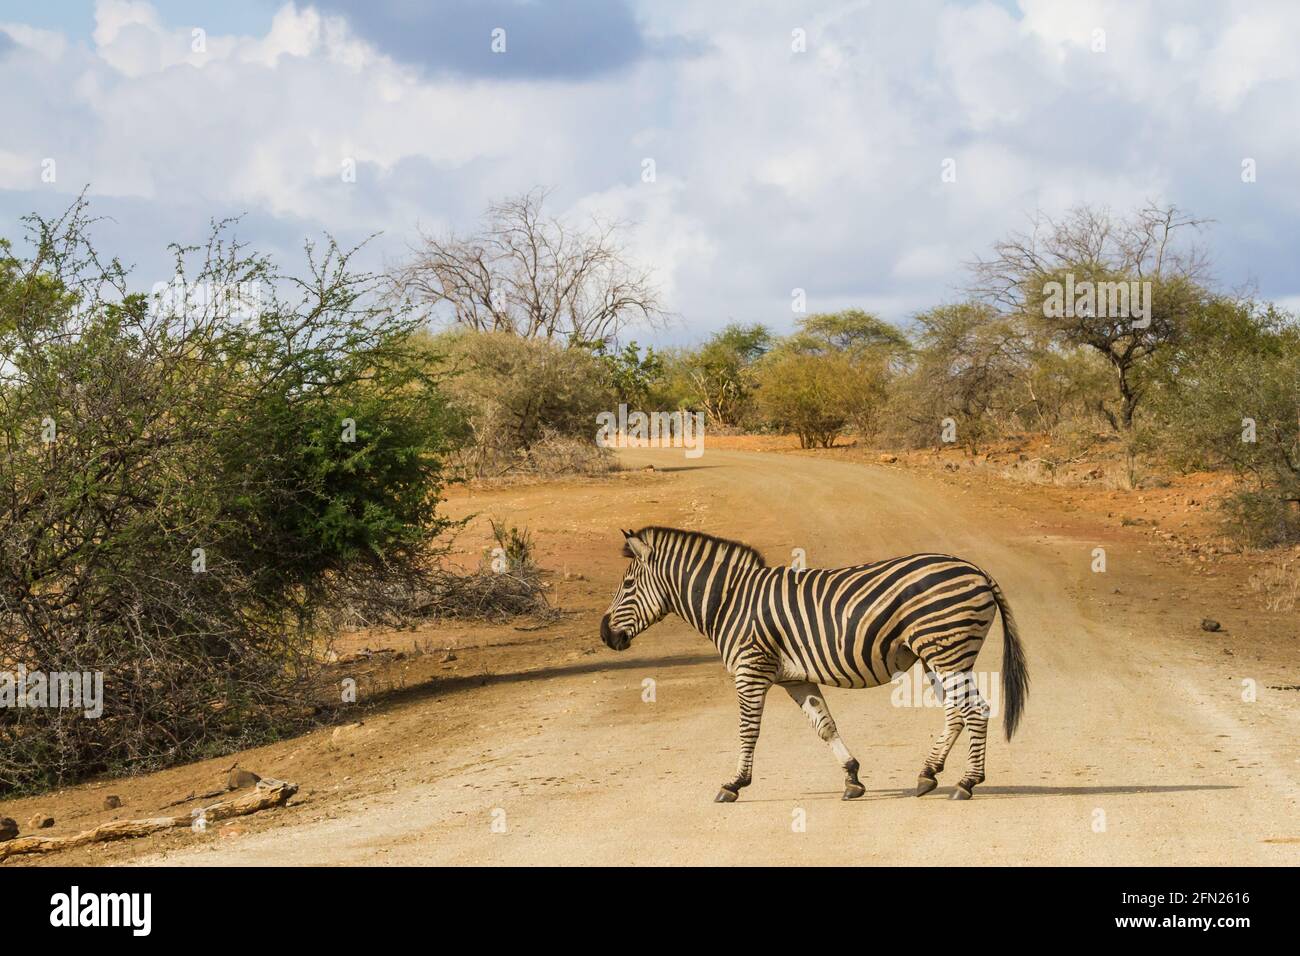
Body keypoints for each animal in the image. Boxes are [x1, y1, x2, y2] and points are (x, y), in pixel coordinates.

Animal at [598, 528, 1024, 806]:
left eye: (629, 585)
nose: (604, 634)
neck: (729, 601)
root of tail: (976, 569)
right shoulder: (795, 680)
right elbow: (825, 726)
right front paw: (852, 778)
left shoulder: (750, 671)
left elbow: (748, 731)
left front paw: (734, 783)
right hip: (939, 655)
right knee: (958, 711)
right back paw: (929, 774)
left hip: (946, 649)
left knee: (974, 709)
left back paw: (966, 782)